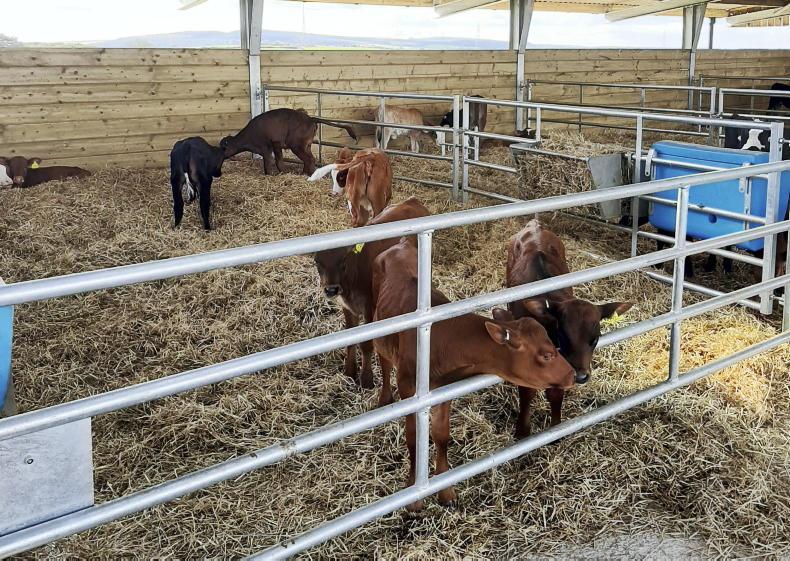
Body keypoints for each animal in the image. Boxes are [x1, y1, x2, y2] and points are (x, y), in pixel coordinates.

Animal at [220, 108, 357, 176]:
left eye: (223, 148)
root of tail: (310, 118)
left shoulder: (266, 147)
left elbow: (269, 161)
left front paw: (269, 174)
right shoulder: (276, 145)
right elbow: (279, 160)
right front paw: (283, 172)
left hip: (296, 145)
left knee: (309, 159)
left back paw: (308, 174)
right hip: (306, 145)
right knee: (310, 158)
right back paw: (306, 172)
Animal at [313, 197, 431, 401]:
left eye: (343, 260)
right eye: (317, 262)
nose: (331, 289)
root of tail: (412, 201)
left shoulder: (369, 307)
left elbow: (366, 344)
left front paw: (366, 380)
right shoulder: (347, 307)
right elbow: (350, 337)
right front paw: (349, 371)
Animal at [372, 238, 578, 511]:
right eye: (546, 355)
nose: (573, 374)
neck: (441, 339)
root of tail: (401, 244)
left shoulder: (444, 389)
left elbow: (441, 435)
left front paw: (446, 491)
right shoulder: (409, 389)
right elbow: (413, 437)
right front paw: (413, 496)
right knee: (383, 361)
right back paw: (384, 398)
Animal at [506, 220, 632, 438]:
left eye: (595, 339)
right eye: (563, 335)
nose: (581, 376)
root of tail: (535, 225)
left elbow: (556, 393)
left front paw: (556, 428)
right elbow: (527, 392)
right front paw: (522, 431)